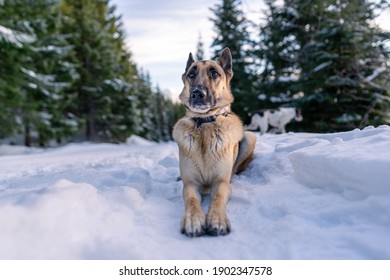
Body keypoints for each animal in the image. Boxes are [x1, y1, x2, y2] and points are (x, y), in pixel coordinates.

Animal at [173, 47, 258, 236]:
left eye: (214, 73)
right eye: (191, 74)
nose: (198, 93)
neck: (204, 123)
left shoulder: (221, 183)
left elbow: (218, 198)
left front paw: (217, 220)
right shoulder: (190, 184)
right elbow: (191, 200)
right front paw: (193, 219)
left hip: (250, 137)